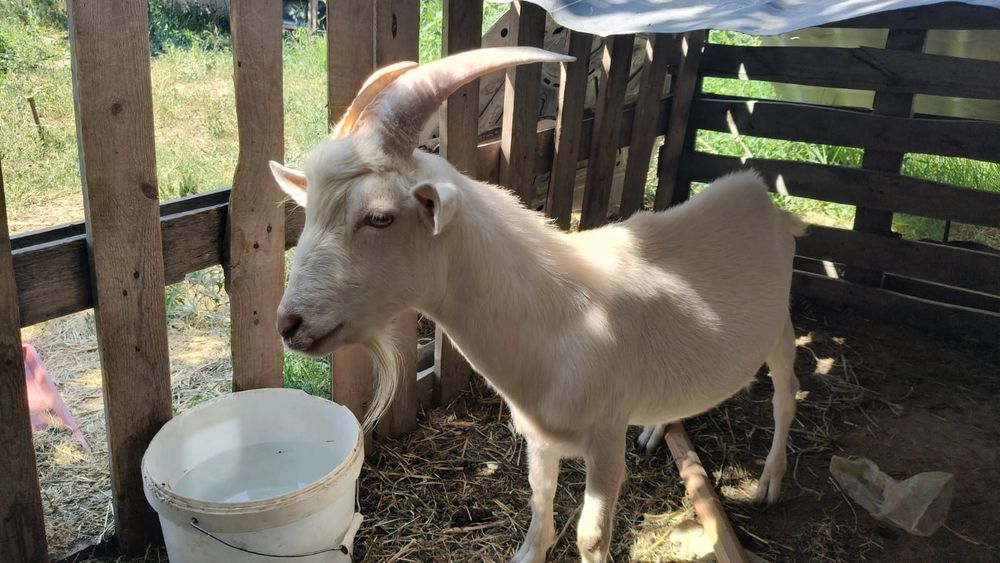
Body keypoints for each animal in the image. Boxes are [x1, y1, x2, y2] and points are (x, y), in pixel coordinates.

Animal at [271, 47, 805, 563]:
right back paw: (658, 429)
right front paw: (530, 551)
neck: (560, 315)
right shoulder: (540, 435)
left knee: (786, 393)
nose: (287, 323)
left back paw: (770, 482)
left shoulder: (605, 441)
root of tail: (764, 198)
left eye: (379, 217)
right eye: (310, 210)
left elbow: (591, 536)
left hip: (780, 326)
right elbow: (537, 496)